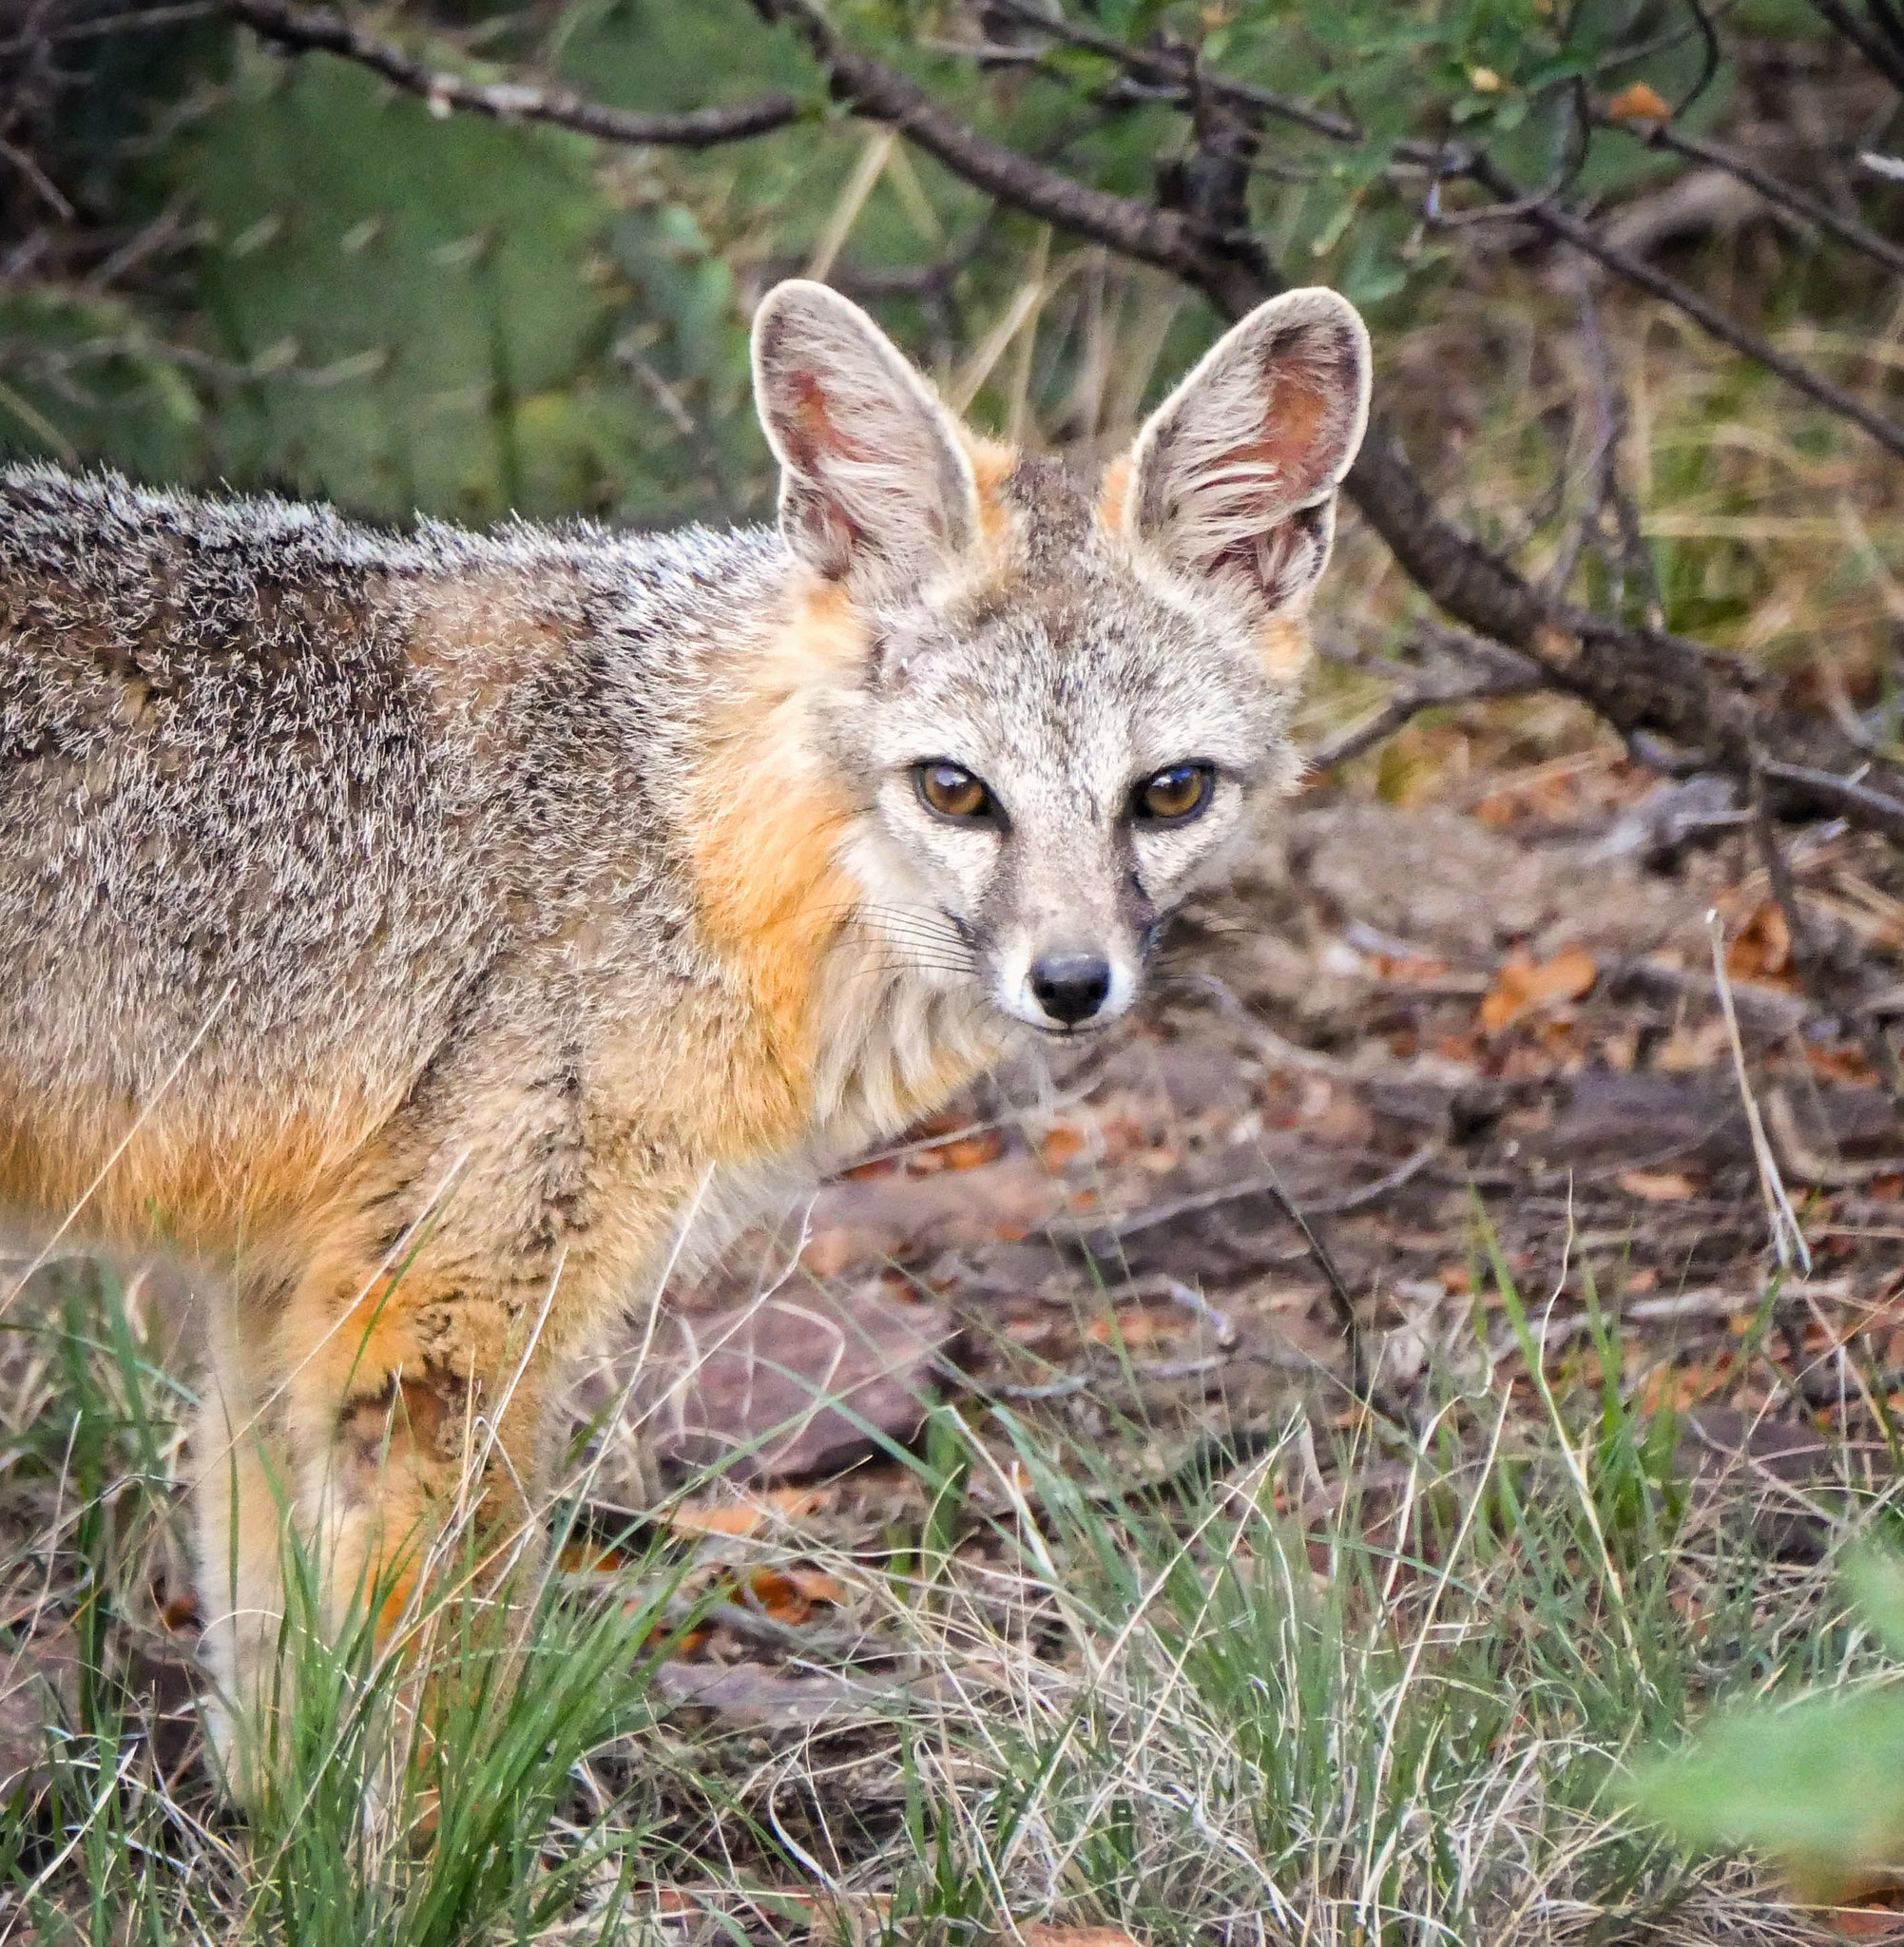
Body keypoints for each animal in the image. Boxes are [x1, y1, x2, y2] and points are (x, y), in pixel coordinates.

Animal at [0, 278, 1369, 1792]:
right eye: (955, 791)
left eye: (1168, 792)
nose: (1071, 984)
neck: (680, 822)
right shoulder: (436, 1333)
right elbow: (421, 1756)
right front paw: (418, 1845)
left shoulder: (270, 1298)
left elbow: (276, 1721)